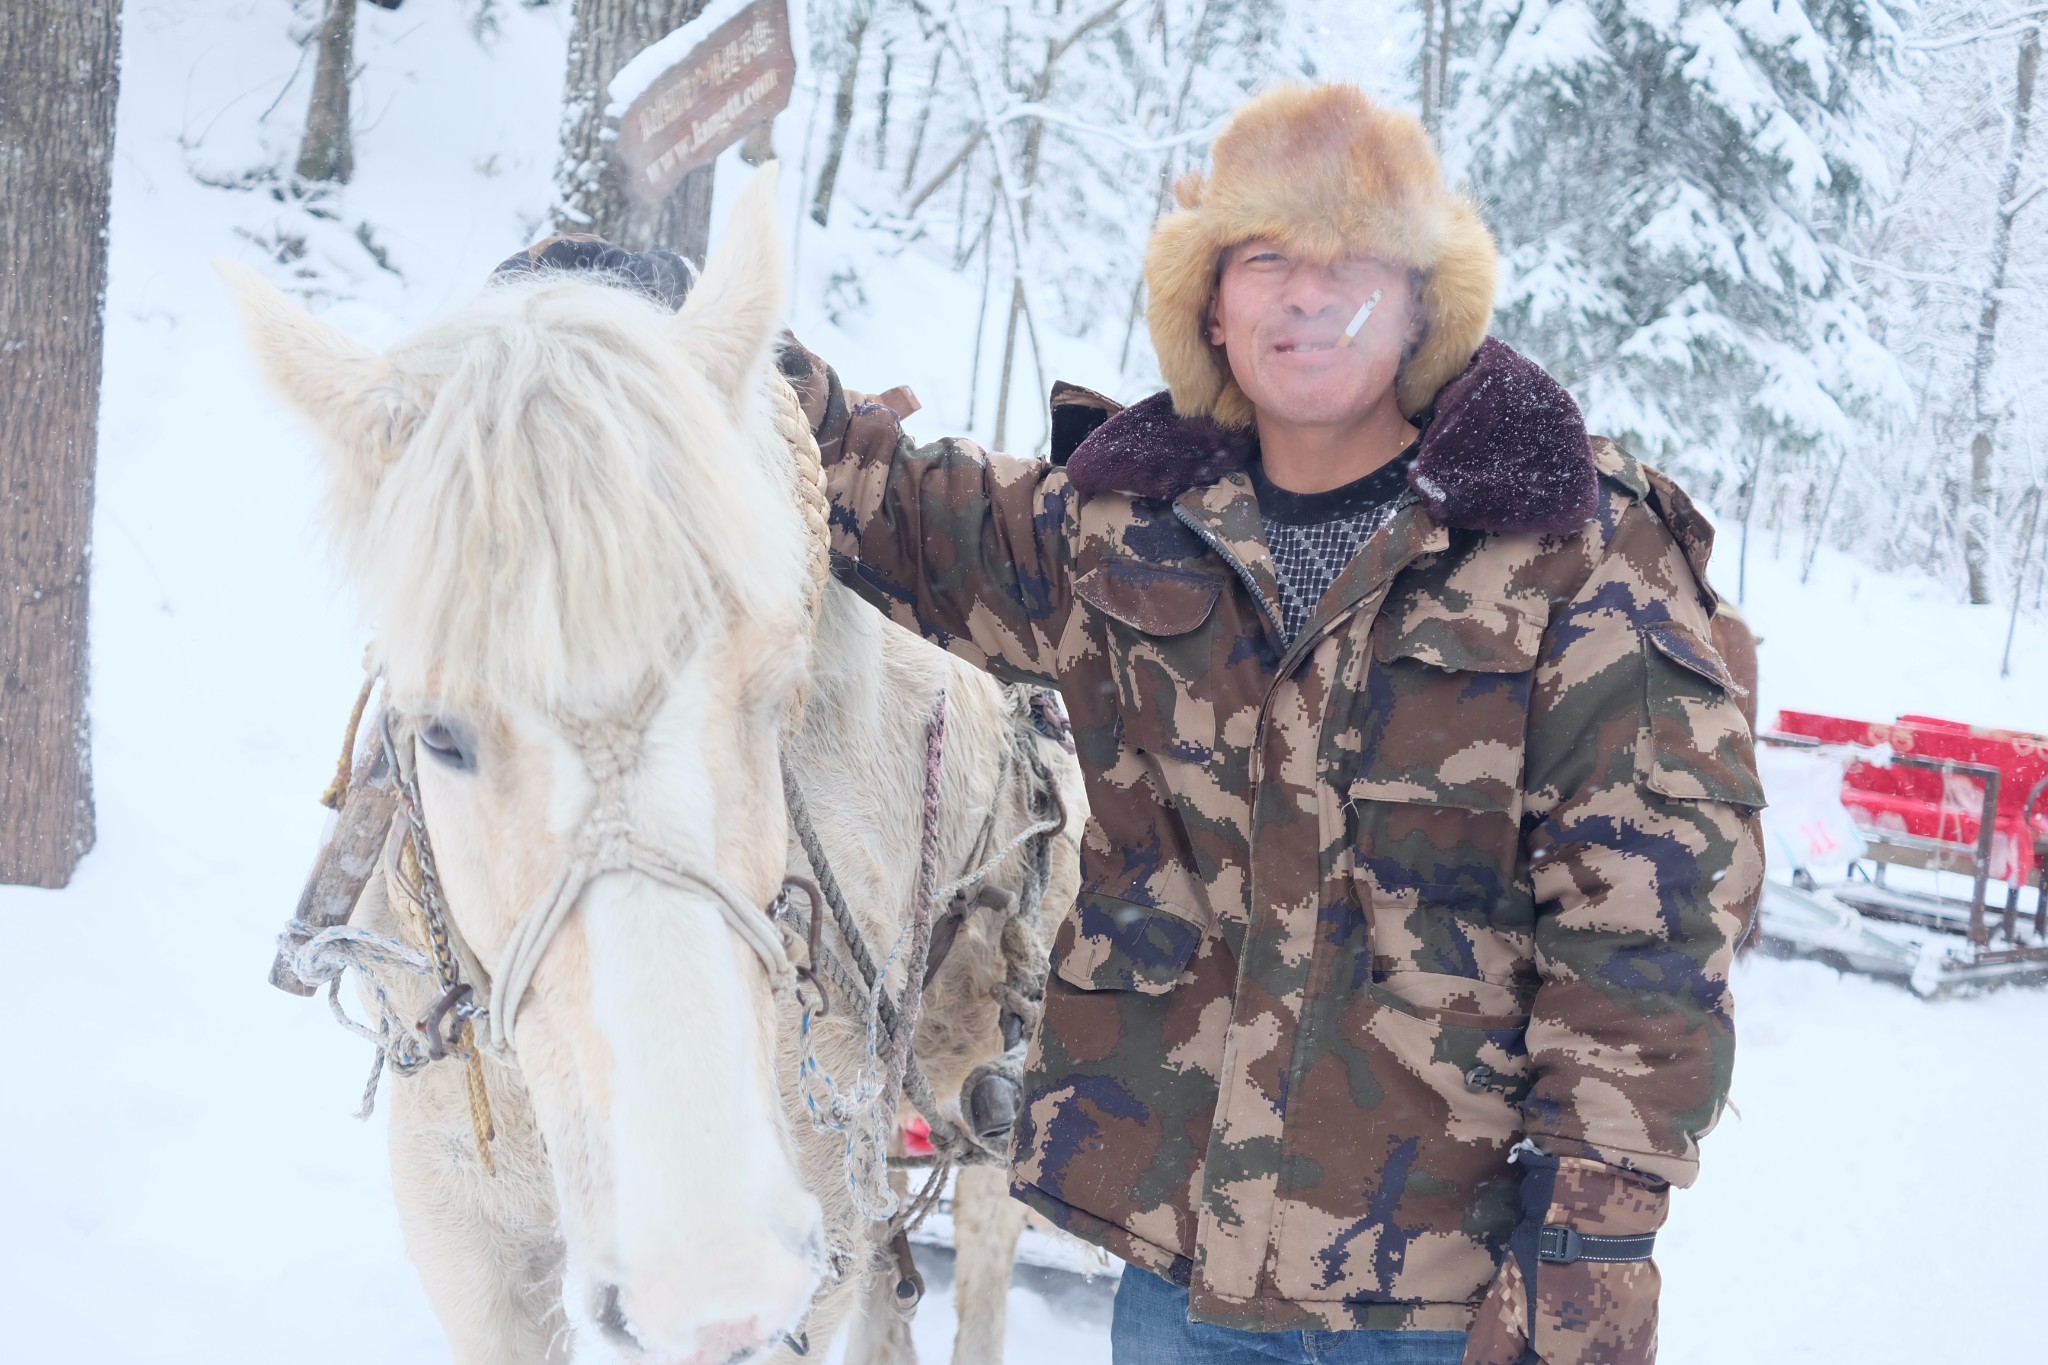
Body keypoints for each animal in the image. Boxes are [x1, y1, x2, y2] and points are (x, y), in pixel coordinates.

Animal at [226, 162, 1089, 1365]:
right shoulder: (467, 1234)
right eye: (437, 731)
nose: (711, 1273)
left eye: (774, 691)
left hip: (994, 1090)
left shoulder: (814, 1232)